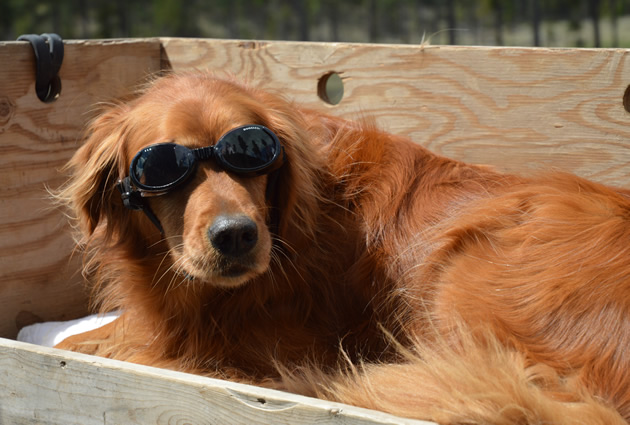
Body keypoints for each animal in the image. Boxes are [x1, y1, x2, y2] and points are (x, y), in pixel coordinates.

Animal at [56, 73, 630, 424]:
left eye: (253, 153)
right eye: (161, 168)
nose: (236, 234)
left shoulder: (274, 344)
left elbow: (126, 348)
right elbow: (88, 338)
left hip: (468, 267)